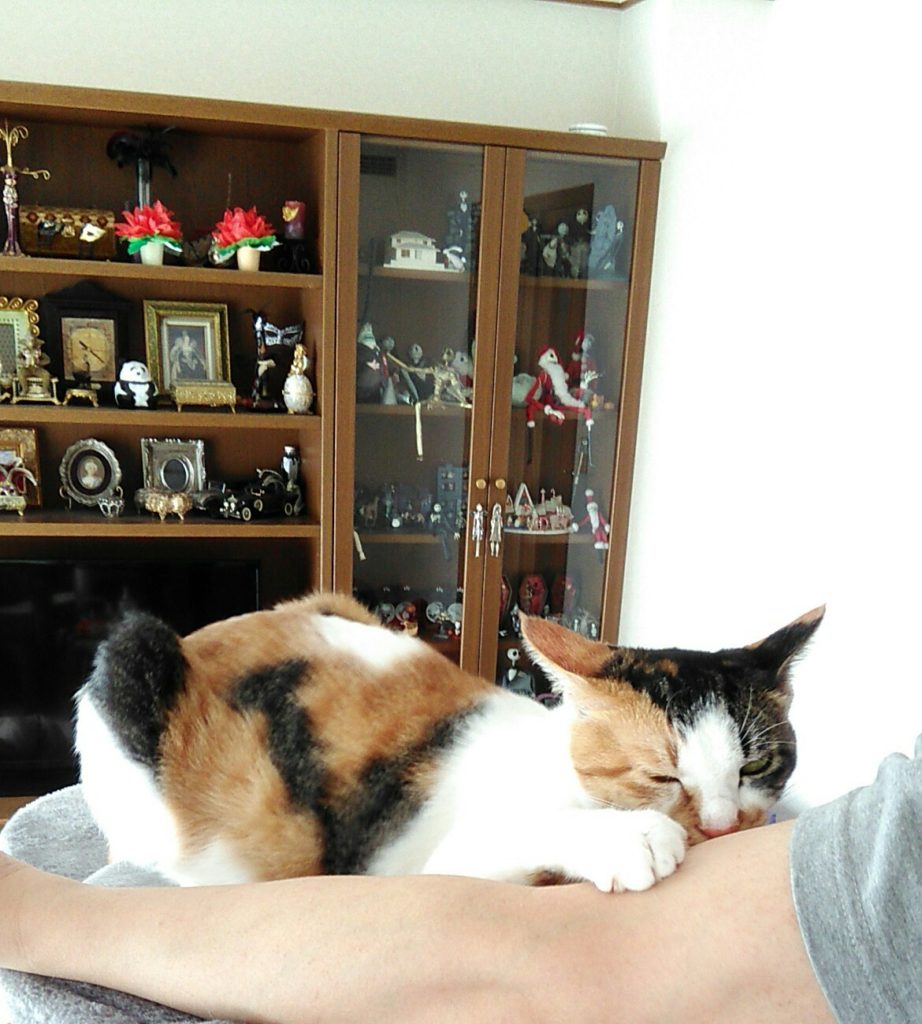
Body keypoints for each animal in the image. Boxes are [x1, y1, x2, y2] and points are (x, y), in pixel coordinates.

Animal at [74, 593, 823, 893]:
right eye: (662, 777)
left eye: (757, 763)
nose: (723, 826)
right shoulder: (426, 869)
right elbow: (516, 832)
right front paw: (627, 838)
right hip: (132, 661)